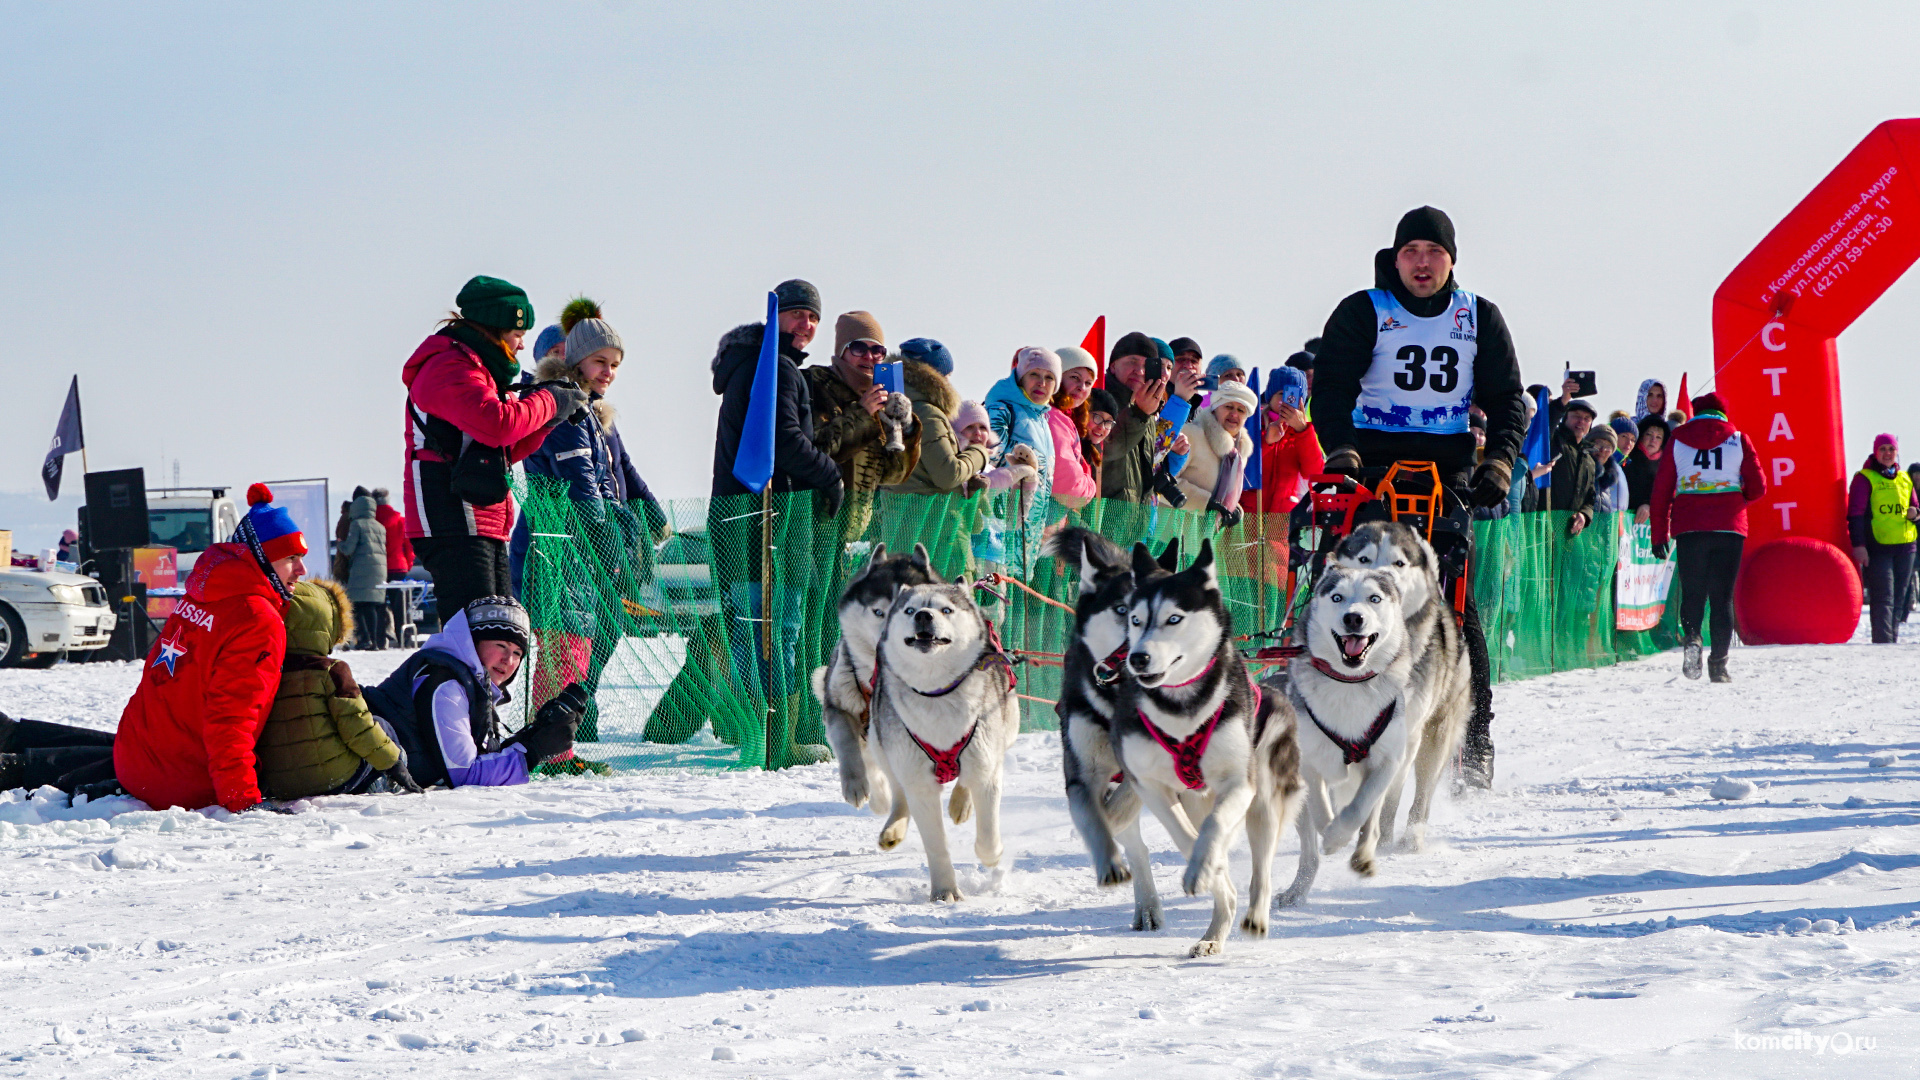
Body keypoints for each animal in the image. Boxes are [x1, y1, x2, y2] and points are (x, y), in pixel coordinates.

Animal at [867, 572, 1021, 899]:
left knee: (971, 778)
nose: (924, 615)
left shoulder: (985, 764)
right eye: (910, 610)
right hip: (879, 742)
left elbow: (988, 832)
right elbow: (935, 844)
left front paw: (992, 855)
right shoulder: (919, 781)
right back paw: (895, 827)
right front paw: (944, 890)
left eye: (946, 610)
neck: (937, 693)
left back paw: (961, 804)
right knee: (899, 791)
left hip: (1005, 733)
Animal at [1044, 526, 1175, 926]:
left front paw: (1111, 818)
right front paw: (1108, 861)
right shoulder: (1080, 773)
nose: (1143, 656)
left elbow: (1118, 810)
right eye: (1123, 610)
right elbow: (1091, 816)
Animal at [1121, 534, 1297, 949]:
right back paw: (1215, 931)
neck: (1182, 709)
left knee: (1261, 866)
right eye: (1135, 619)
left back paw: (1255, 915)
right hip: (1194, 798)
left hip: (1264, 801)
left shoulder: (1239, 783)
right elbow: (1187, 837)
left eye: (1173, 618)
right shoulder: (1149, 785)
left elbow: (1216, 825)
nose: (1138, 658)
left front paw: (1202, 868)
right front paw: (1202, 870)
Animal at [1282, 553, 1474, 899]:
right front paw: (1331, 834)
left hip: (1428, 744)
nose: (1354, 618)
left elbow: (1361, 808)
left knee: (1402, 803)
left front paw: (1341, 836)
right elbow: (1320, 809)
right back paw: (1298, 889)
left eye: (1374, 598)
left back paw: (1389, 845)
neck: (1350, 684)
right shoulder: (1309, 764)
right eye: (1337, 597)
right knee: (1310, 846)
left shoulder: (1386, 761)